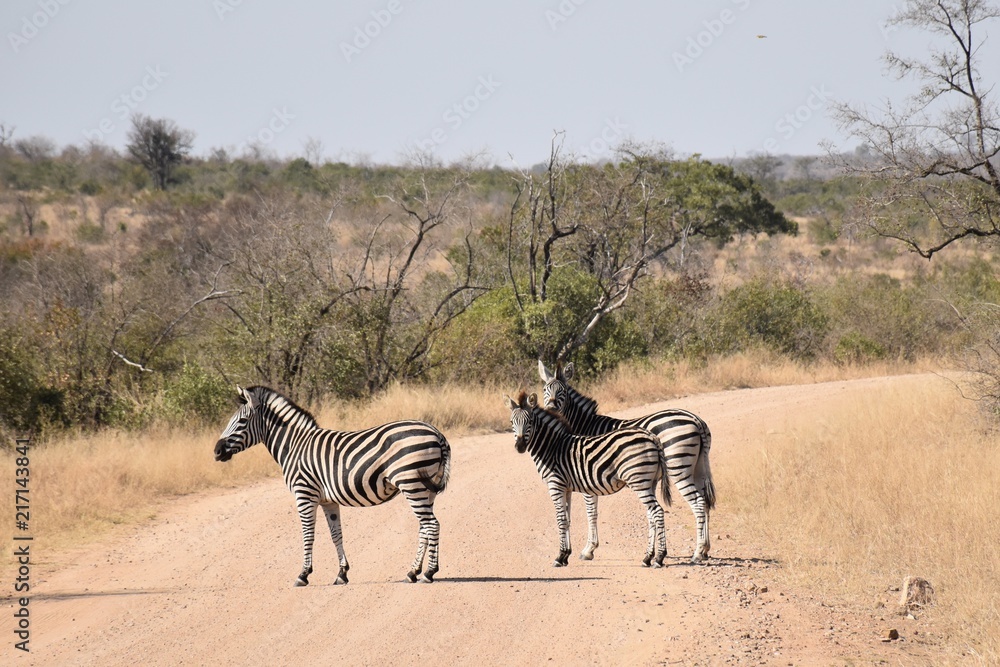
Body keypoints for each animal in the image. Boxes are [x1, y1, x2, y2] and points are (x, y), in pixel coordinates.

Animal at [214, 385, 451, 586]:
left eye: (242, 421)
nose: (216, 451)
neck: (295, 446)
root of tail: (436, 433)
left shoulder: (304, 494)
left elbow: (308, 534)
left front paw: (303, 574)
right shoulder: (327, 501)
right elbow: (336, 535)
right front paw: (342, 574)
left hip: (411, 483)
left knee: (432, 525)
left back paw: (429, 573)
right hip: (425, 488)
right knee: (424, 527)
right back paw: (412, 572)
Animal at [503, 391, 670, 568]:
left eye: (530, 421)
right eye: (511, 422)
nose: (520, 446)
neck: (551, 447)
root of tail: (651, 436)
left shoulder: (555, 485)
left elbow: (560, 520)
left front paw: (559, 557)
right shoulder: (566, 487)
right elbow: (567, 519)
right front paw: (566, 555)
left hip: (639, 481)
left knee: (657, 511)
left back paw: (659, 557)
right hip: (649, 482)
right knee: (651, 515)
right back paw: (647, 557)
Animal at [538, 361, 716, 563]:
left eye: (563, 391)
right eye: (545, 389)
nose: (551, 409)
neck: (583, 427)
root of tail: (696, 420)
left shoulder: (586, 474)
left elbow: (591, 511)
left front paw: (588, 549)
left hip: (678, 467)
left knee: (698, 502)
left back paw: (697, 552)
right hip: (698, 467)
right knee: (706, 501)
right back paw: (705, 550)